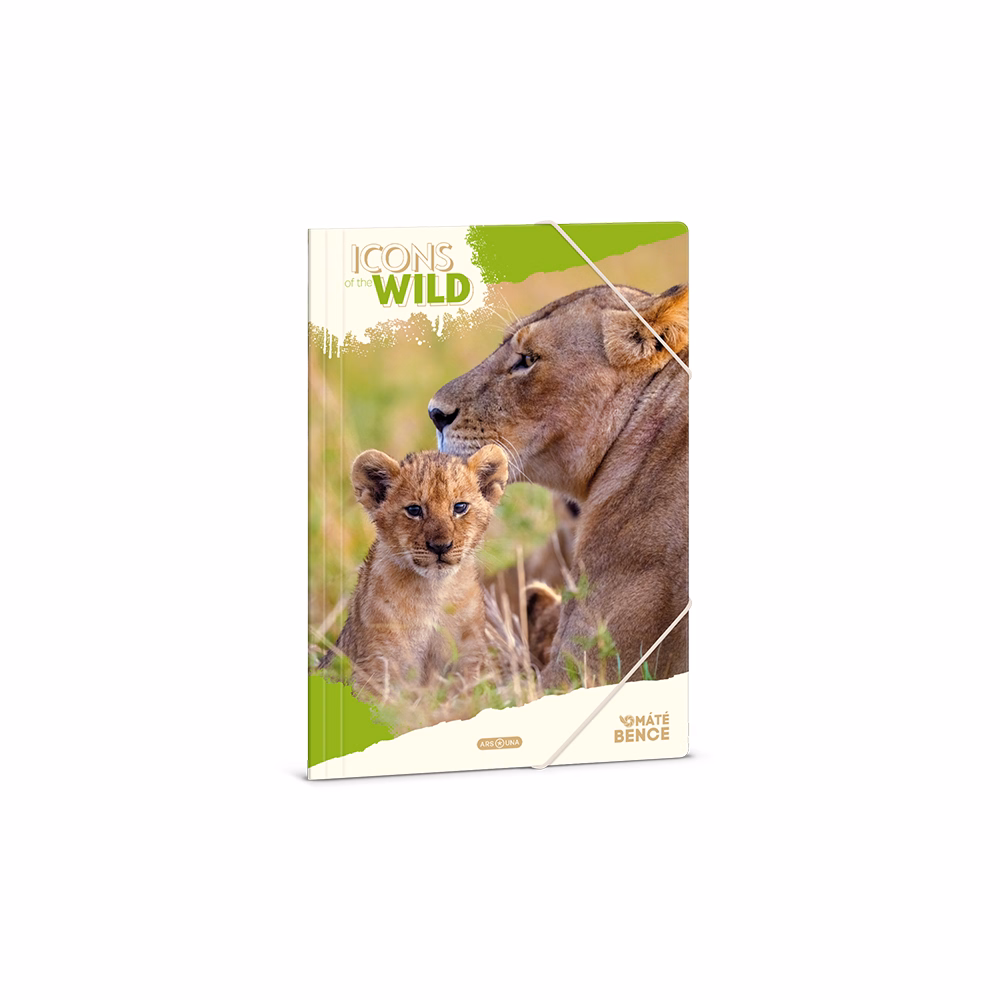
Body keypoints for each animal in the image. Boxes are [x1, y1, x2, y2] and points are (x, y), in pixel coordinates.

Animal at [336, 445, 508, 699]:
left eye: (460, 507)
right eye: (414, 510)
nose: (440, 546)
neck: (433, 593)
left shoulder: (469, 658)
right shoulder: (375, 664)